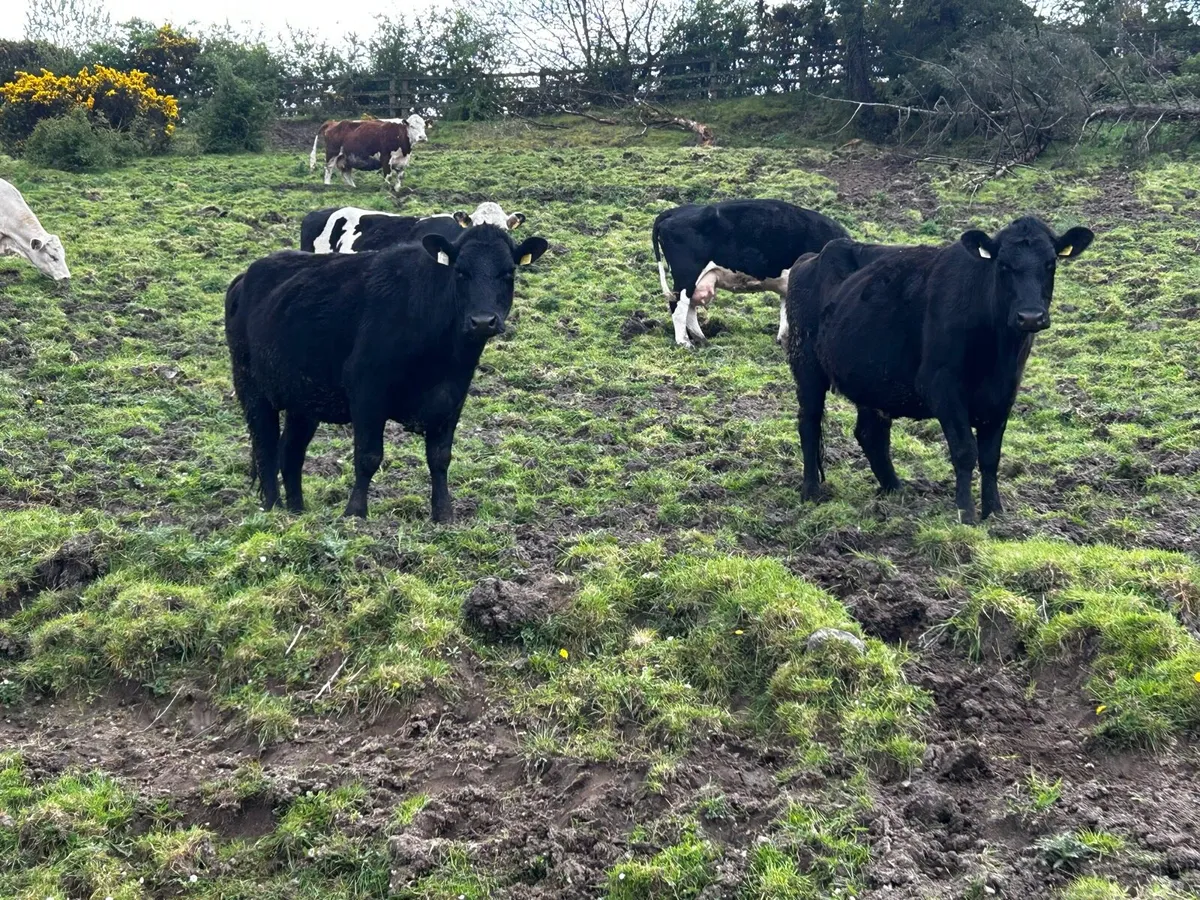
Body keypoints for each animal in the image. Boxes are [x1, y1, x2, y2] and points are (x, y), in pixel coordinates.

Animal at [224, 225, 549, 522]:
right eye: (460, 272)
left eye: (508, 273)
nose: (483, 321)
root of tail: (245, 276)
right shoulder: (367, 392)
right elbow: (368, 456)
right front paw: (355, 514)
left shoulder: (453, 396)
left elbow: (440, 457)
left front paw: (444, 514)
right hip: (251, 387)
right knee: (265, 447)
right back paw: (273, 509)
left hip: (303, 399)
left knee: (290, 452)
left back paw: (297, 512)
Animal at [651, 199, 849, 348]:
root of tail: (676, 211)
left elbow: (786, 311)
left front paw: (783, 340)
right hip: (687, 274)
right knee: (678, 305)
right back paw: (684, 342)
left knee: (689, 306)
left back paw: (702, 339)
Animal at [792, 217, 1094, 524]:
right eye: (1003, 265)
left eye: (1050, 263)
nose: (1030, 316)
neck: (996, 351)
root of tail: (812, 257)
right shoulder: (942, 387)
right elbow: (965, 451)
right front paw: (966, 513)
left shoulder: (1004, 393)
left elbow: (990, 456)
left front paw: (995, 513)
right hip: (806, 364)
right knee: (809, 422)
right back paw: (811, 491)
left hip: (871, 378)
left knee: (871, 434)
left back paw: (895, 489)